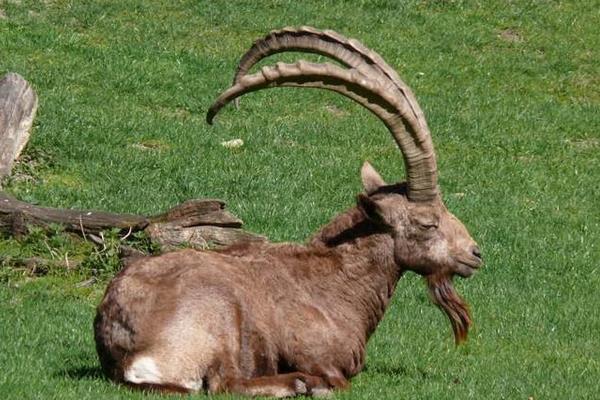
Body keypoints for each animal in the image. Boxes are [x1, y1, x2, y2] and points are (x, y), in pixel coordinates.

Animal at [95, 26, 488, 396]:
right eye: (427, 223)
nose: (474, 254)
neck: (336, 282)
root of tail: (127, 351)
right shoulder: (320, 358)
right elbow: (337, 380)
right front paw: (314, 383)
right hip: (220, 318)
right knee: (226, 381)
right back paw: (301, 384)